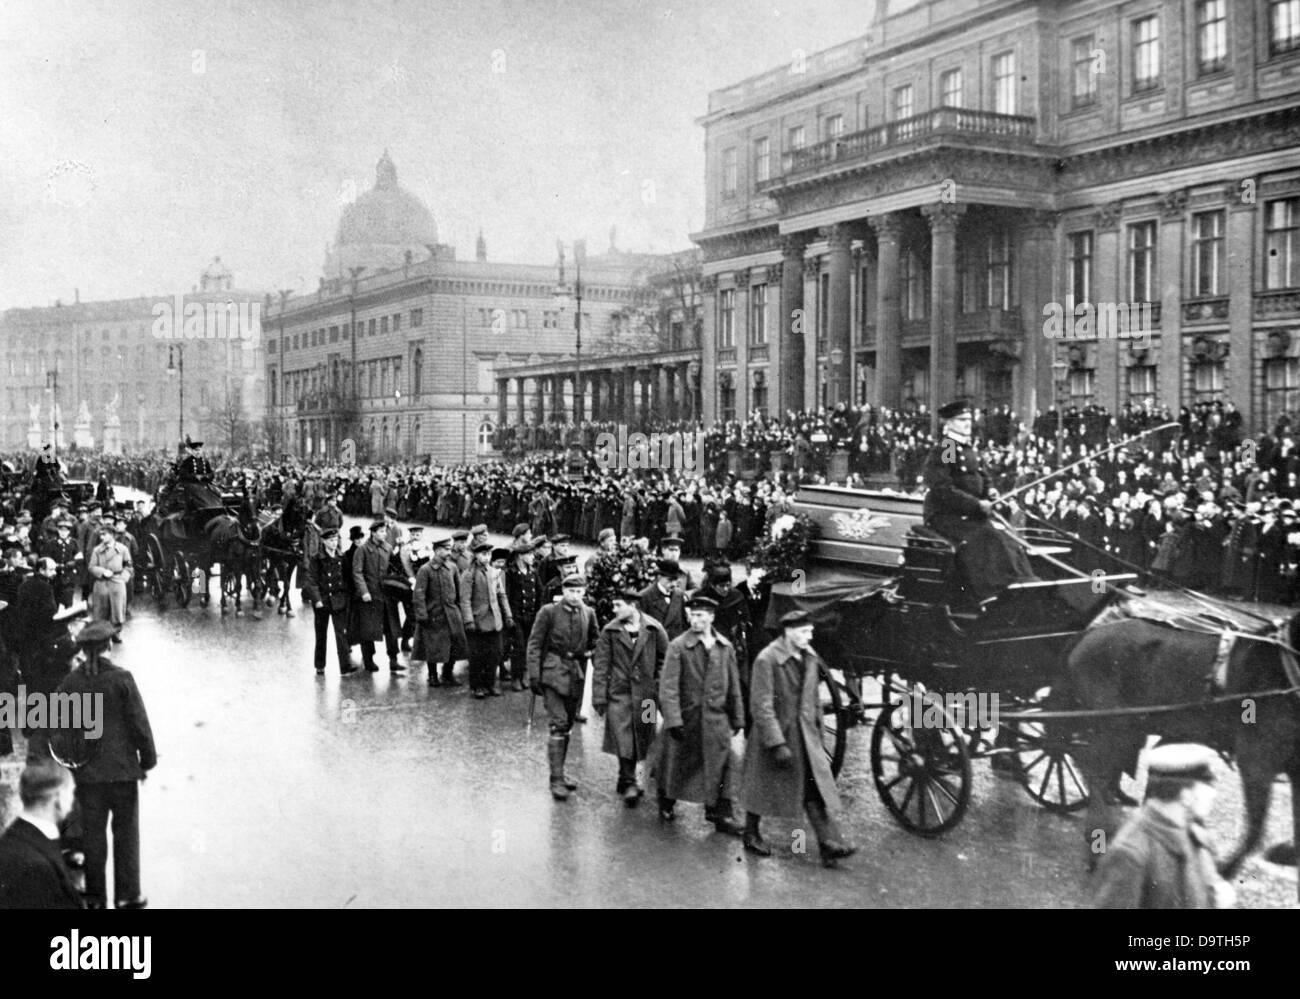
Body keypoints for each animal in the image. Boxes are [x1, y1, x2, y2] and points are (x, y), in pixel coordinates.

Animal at [1060, 608, 1300, 894]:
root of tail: (1089, 633)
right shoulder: (1256, 761)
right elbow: (1255, 828)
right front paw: (1224, 871)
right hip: (1111, 725)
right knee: (1095, 774)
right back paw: (1100, 839)